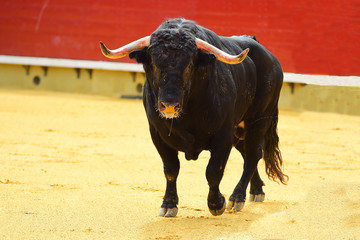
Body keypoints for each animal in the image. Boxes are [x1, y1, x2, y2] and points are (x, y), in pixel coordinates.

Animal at [100, 18, 288, 218]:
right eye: (155, 64)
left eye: (189, 65)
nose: (169, 105)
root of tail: (269, 56)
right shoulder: (157, 134)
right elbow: (171, 169)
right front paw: (168, 204)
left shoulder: (223, 135)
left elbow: (213, 171)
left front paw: (216, 204)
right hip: (240, 130)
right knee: (249, 153)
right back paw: (256, 190)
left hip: (259, 119)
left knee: (253, 154)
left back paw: (237, 197)